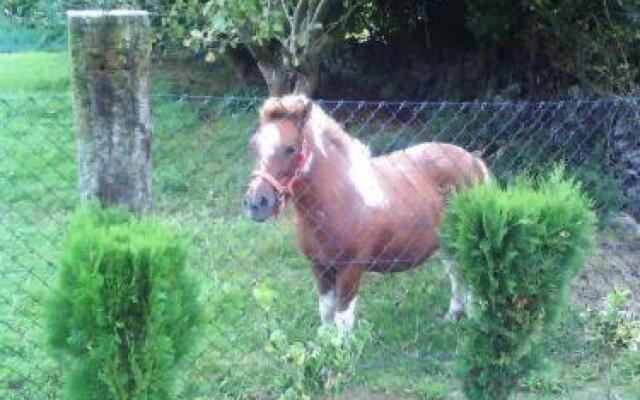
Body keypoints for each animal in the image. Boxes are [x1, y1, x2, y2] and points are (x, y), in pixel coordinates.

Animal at [242, 94, 488, 334]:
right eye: (253, 146)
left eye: (291, 149)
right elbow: (326, 314)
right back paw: (453, 316)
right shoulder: (320, 268)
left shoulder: (350, 270)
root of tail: (473, 160)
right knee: (457, 274)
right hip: (445, 243)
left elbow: (343, 319)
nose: (256, 203)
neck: (339, 200)